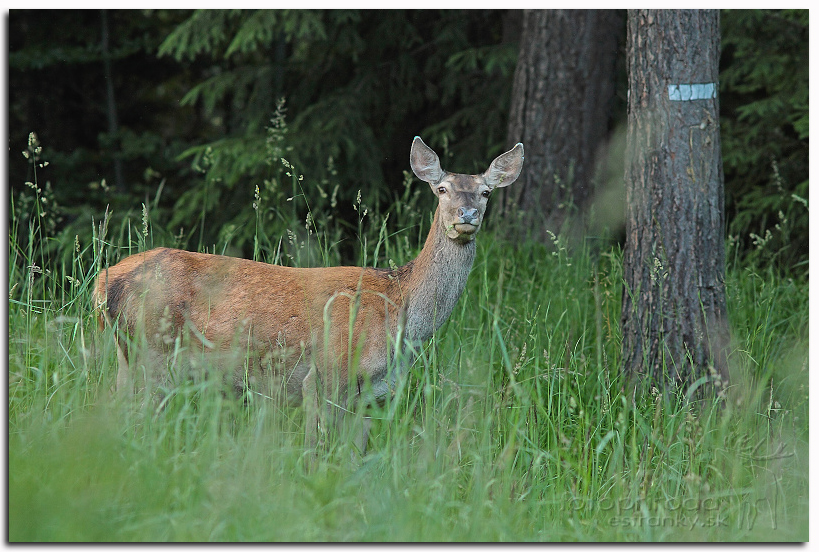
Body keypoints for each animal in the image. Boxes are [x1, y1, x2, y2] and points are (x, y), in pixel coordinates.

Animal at [94, 137, 524, 448]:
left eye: (485, 192)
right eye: (442, 189)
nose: (466, 215)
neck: (400, 308)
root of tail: (104, 282)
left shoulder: (373, 394)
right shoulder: (325, 374)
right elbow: (316, 452)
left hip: (129, 356)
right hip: (152, 353)